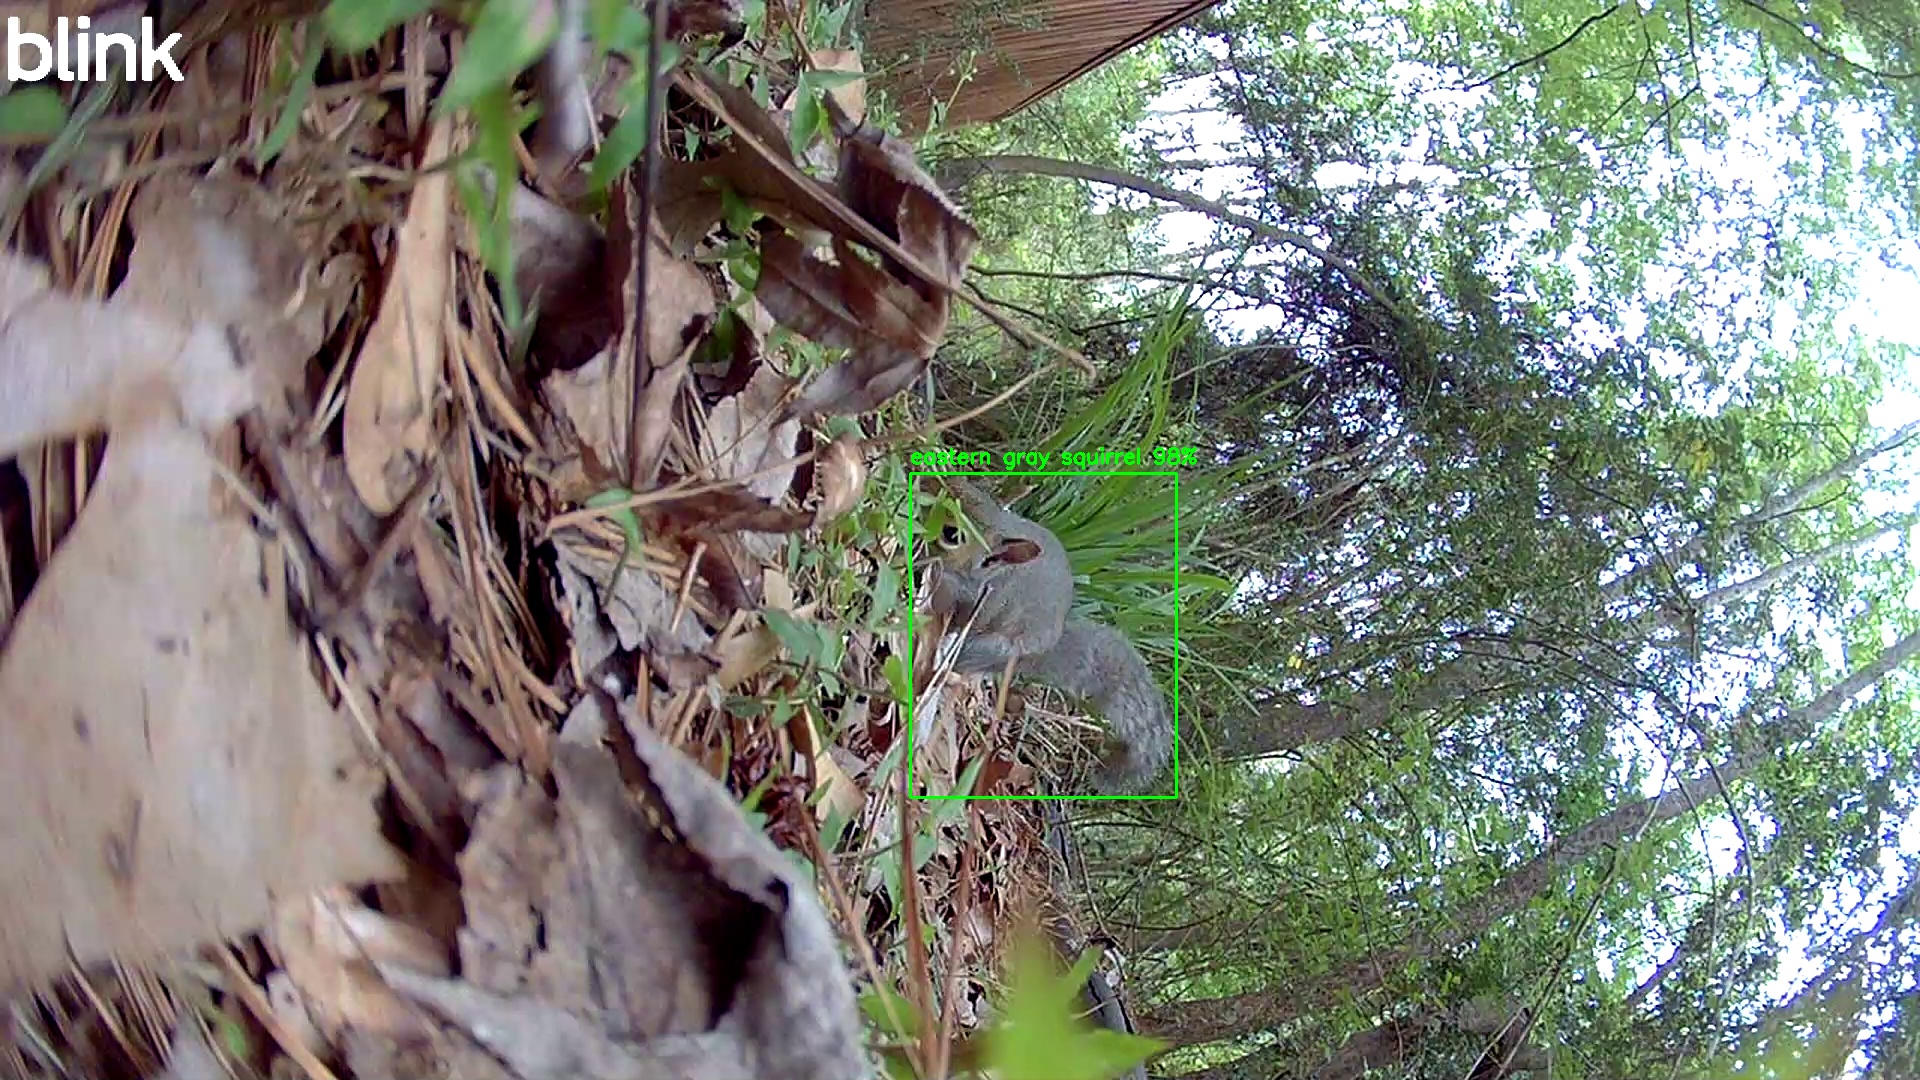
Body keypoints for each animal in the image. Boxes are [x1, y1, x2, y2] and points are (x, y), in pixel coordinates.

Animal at [926, 477, 1174, 793]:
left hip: (994, 650)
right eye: (970, 485)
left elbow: (965, 607)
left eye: (952, 534)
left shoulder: (988, 601)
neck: (997, 573)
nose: (924, 481)